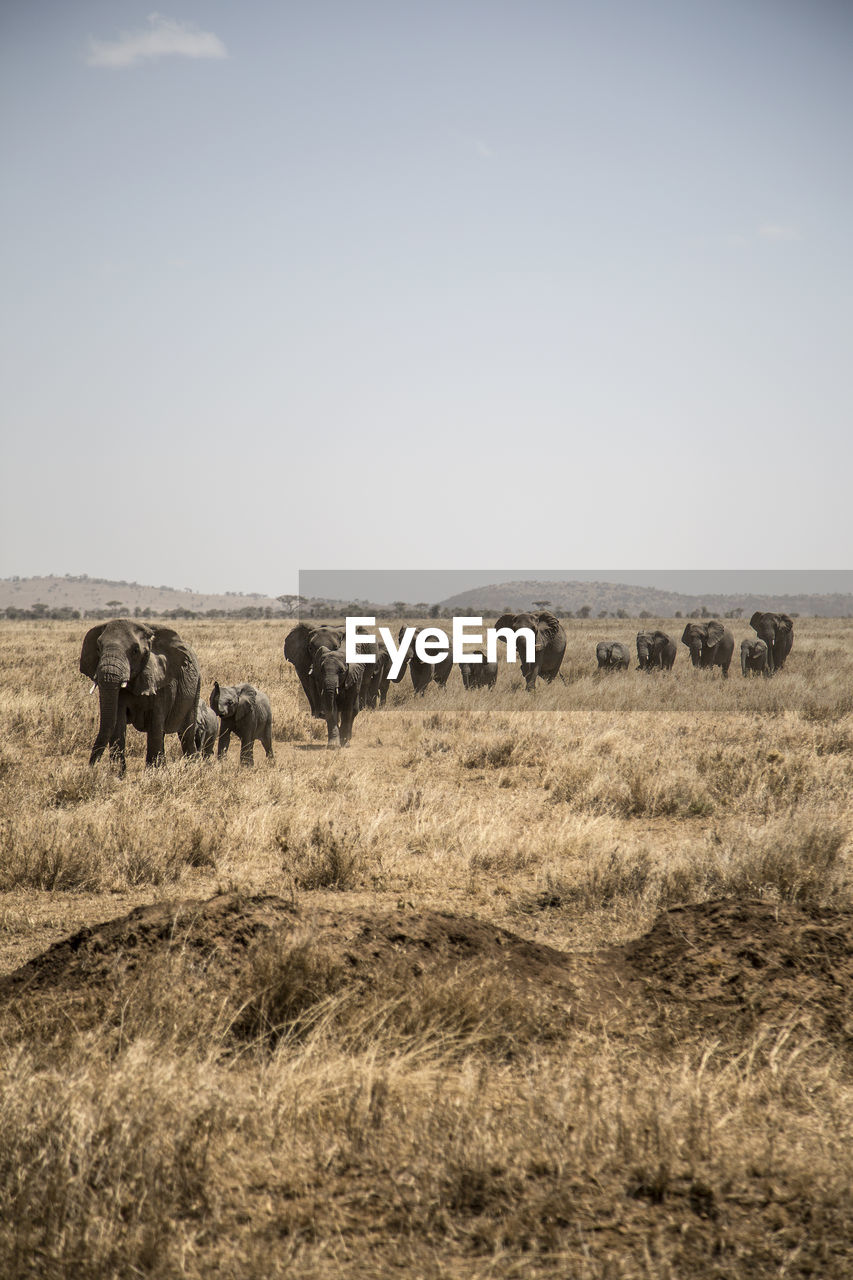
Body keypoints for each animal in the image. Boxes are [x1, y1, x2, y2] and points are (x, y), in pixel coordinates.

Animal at [78, 619, 199, 768]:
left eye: (135, 651)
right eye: (98, 648)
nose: (91, 767)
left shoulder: (162, 682)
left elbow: (155, 724)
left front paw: (153, 771)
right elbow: (118, 723)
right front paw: (117, 773)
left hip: (196, 688)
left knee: (186, 734)